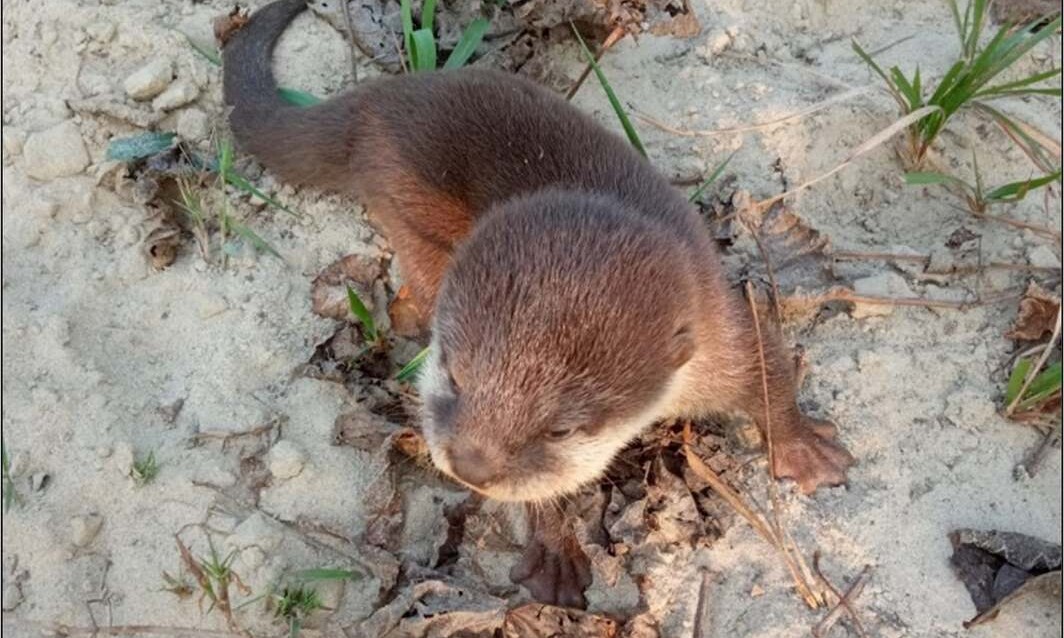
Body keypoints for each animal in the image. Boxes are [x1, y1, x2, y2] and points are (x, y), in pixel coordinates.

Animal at [222, 0, 854, 608]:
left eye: (562, 429)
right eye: (453, 376)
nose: (471, 466)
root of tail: (381, 99)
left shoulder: (716, 324)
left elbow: (768, 364)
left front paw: (806, 447)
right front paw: (553, 552)